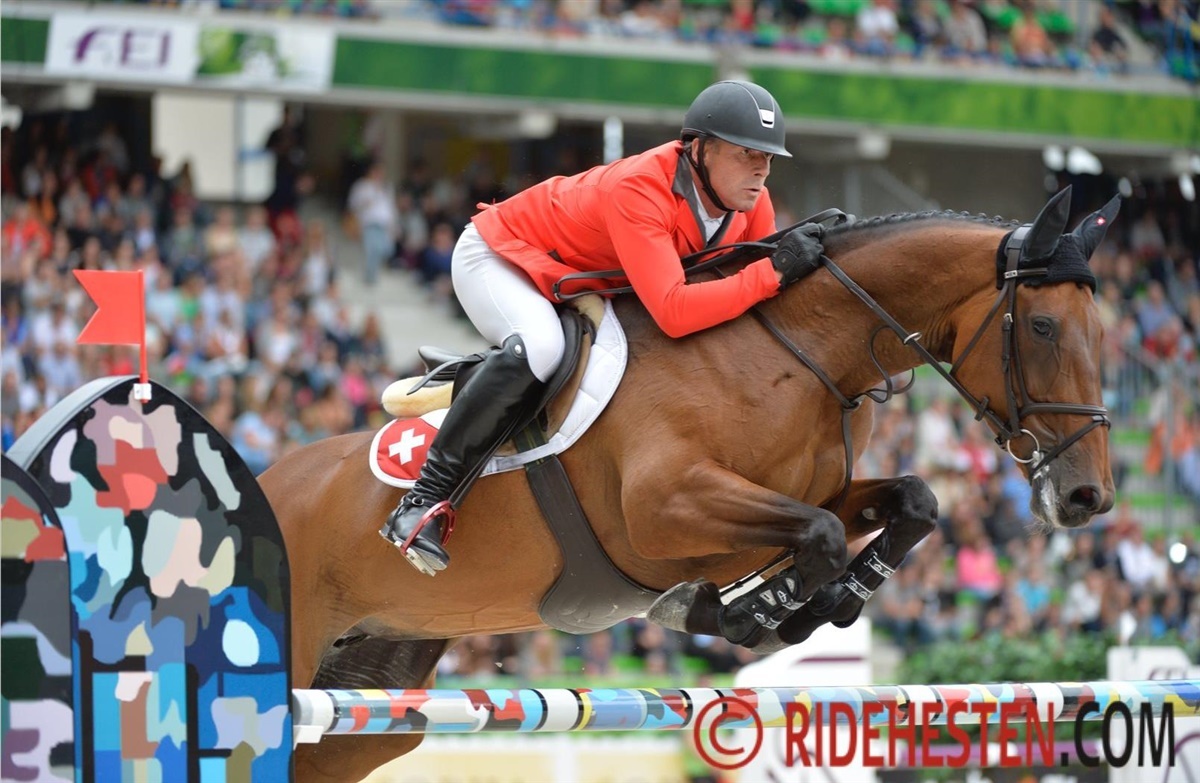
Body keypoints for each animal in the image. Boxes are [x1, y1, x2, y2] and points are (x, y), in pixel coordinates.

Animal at [259, 186, 1118, 782]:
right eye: (1042, 327)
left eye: (1102, 334)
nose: (1089, 498)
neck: (801, 350)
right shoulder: (664, 509)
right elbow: (815, 536)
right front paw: (744, 612)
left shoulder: (810, 491)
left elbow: (911, 501)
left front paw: (825, 601)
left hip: (378, 684)